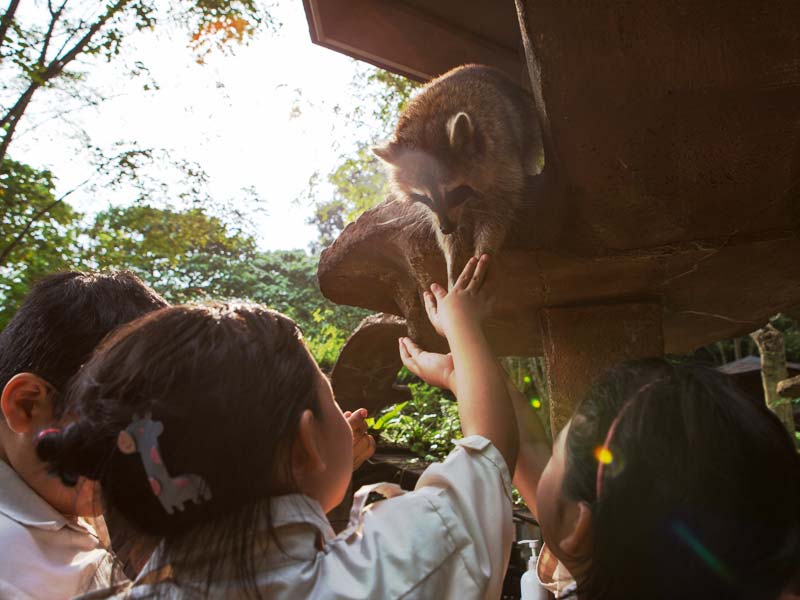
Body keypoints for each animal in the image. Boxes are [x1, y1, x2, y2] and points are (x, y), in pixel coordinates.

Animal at [372, 63, 540, 286]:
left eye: (454, 192)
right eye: (424, 197)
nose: (446, 228)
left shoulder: (502, 156)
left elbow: (498, 208)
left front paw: (485, 249)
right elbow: (441, 225)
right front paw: (452, 255)